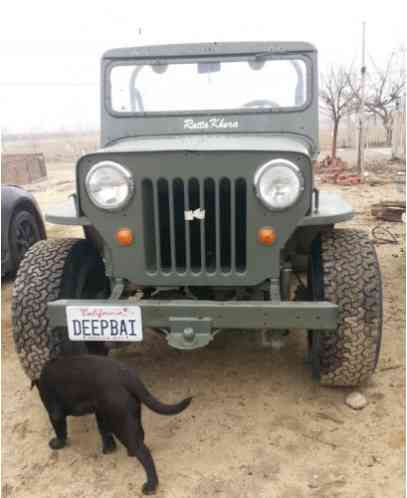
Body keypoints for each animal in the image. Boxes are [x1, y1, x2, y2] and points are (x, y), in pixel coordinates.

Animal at [34, 354, 191, 494]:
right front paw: (109, 449)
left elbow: (61, 431)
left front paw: (57, 444)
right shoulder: (100, 412)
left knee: (144, 453)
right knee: (140, 436)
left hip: (121, 425)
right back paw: (131, 453)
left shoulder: (54, 413)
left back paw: (151, 486)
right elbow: (104, 431)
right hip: (130, 417)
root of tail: (126, 375)